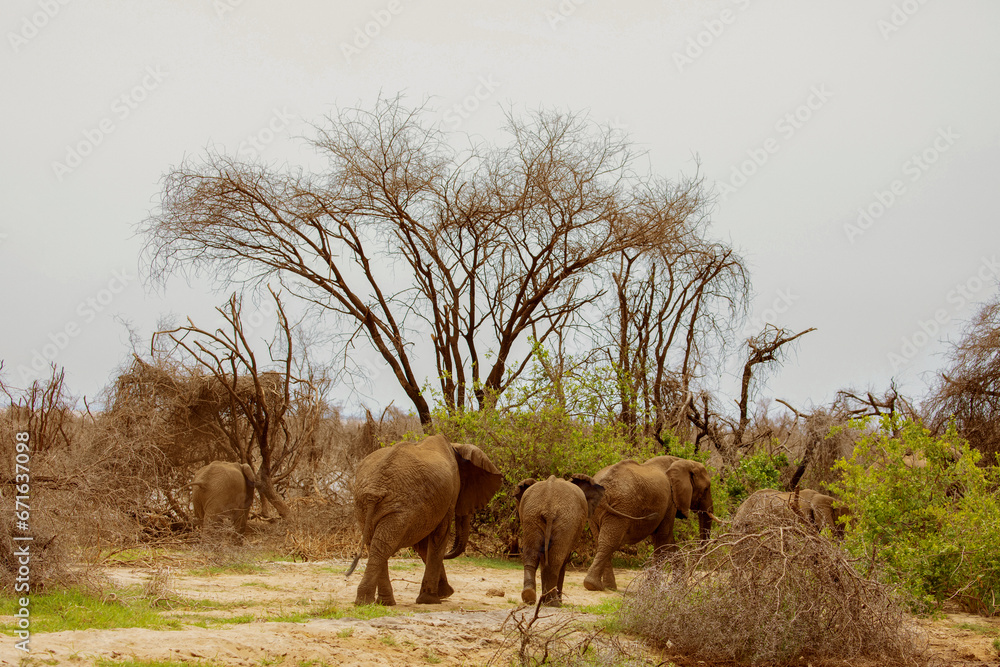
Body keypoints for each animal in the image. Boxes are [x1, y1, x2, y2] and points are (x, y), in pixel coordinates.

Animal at [345, 434, 503, 605]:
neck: (455, 447)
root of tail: (375, 489)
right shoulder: (449, 495)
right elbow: (438, 536)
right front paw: (432, 599)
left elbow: (422, 544)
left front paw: (442, 595)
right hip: (399, 506)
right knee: (383, 545)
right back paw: (369, 602)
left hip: (365, 505)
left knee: (375, 544)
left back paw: (380, 602)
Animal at [514, 474, 605, 607]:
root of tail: (549, 507)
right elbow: (563, 559)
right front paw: (557, 601)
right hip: (565, 521)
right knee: (556, 560)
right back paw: (554, 603)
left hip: (531, 516)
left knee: (531, 555)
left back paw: (530, 596)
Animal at [583, 455, 714, 592]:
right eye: (706, 489)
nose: (692, 572)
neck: (682, 461)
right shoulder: (670, 502)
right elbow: (663, 538)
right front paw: (651, 588)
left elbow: (667, 540)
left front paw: (676, 586)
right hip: (622, 507)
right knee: (610, 541)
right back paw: (595, 586)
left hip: (598, 511)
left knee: (600, 540)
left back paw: (605, 587)